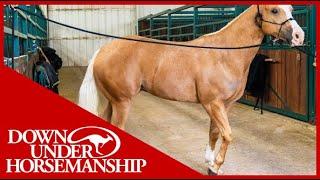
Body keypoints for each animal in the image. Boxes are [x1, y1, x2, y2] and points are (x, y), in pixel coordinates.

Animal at [79, 5, 304, 174]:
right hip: (122, 102)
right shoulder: (212, 103)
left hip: (113, 101)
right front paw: (217, 165)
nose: (299, 36)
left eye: (291, 8)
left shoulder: (223, 105)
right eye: (274, 10)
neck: (223, 54)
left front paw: (211, 164)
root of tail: (103, 50)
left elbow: (215, 133)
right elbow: (228, 134)